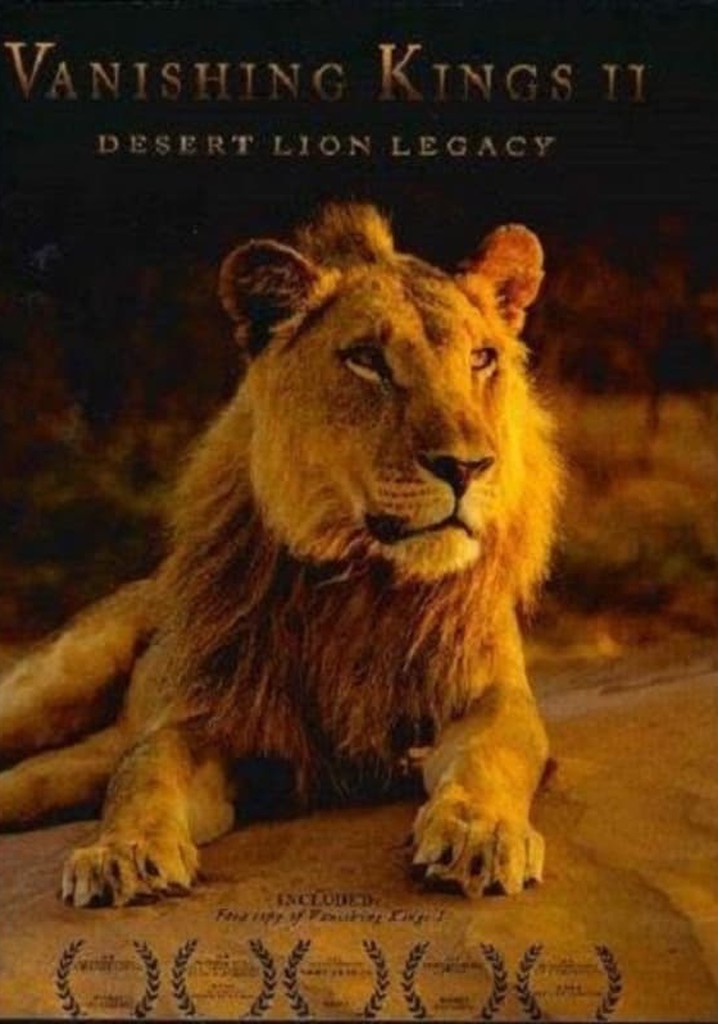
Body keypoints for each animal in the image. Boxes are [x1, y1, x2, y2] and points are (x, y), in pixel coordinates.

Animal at [0, 202, 560, 907]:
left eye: (482, 359)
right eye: (368, 361)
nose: (466, 466)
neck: (365, 583)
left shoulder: (489, 695)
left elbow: (495, 754)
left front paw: (478, 832)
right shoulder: (208, 720)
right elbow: (144, 773)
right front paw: (121, 852)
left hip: (66, 771)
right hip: (54, 685)